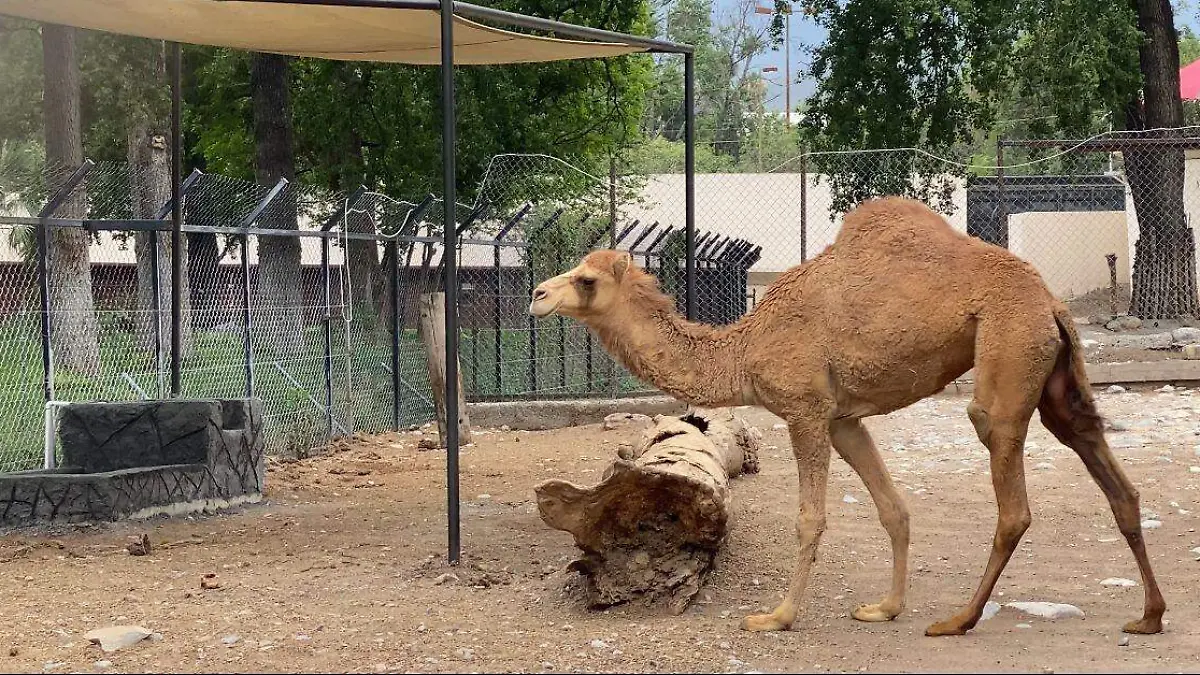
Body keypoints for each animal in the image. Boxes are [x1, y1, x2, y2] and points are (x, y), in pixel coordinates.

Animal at [530, 195, 1166, 634]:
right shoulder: (842, 419)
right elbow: (893, 508)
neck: (746, 347)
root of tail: (1052, 300)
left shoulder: (805, 409)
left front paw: (777, 617)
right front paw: (885, 607)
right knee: (1109, 470)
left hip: (1008, 351)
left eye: (585, 279)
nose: (538, 294)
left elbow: (810, 519)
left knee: (1010, 490)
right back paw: (1149, 616)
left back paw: (958, 620)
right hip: (1057, 373)